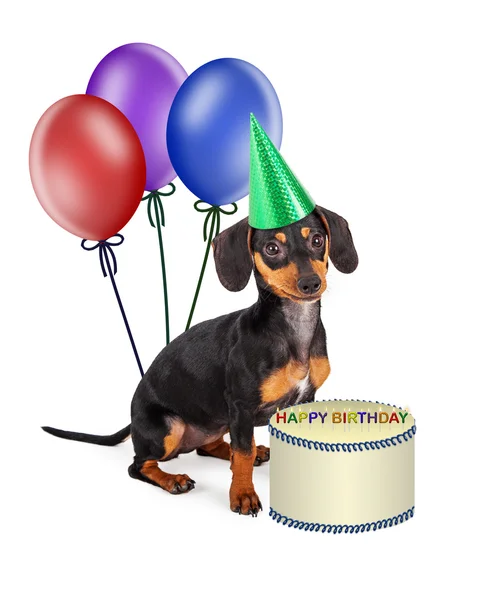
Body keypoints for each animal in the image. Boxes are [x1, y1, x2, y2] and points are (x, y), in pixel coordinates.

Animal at [45, 205, 358, 516]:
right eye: (272, 248)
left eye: (317, 240)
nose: (310, 283)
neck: (293, 331)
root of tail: (133, 421)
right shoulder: (241, 406)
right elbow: (242, 454)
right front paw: (243, 494)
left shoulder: (303, 401)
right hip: (169, 429)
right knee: (138, 465)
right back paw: (173, 480)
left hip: (217, 420)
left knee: (209, 446)